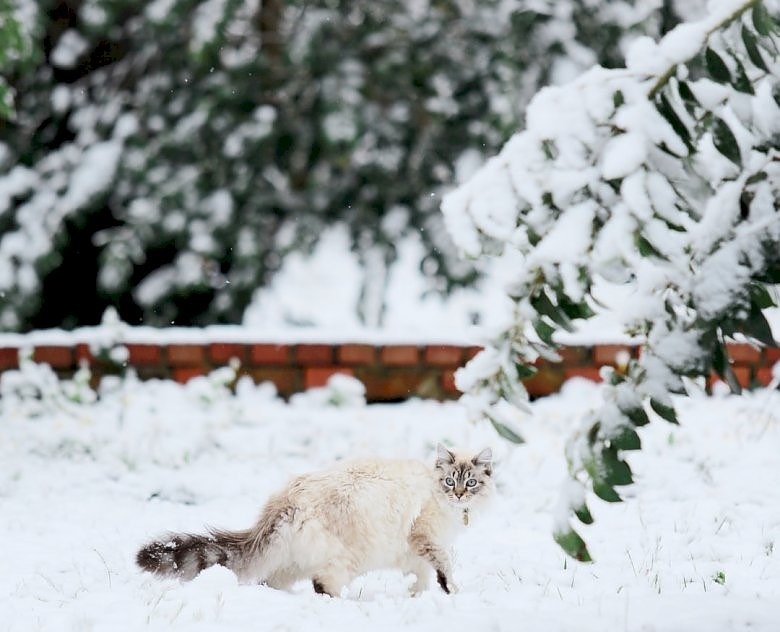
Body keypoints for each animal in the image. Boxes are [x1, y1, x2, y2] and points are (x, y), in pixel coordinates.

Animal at [136, 442, 490, 596]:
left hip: (291, 562)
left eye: (471, 482)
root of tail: (286, 498)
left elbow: (423, 575)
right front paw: (450, 590)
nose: (460, 495)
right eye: (451, 482)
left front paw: (419, 595)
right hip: (344, 561)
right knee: (322, 585)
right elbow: (442, 566)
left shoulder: (415, 551)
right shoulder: (425, 537)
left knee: (270, 581)